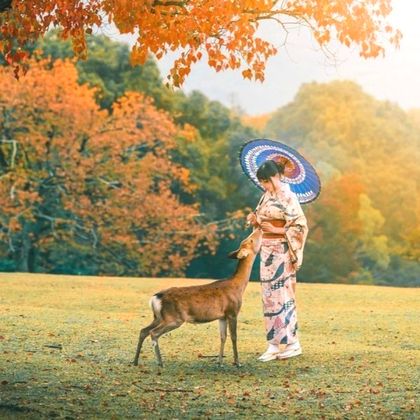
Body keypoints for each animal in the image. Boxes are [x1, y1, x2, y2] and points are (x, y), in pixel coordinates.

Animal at [134, 226, 262, 368]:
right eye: (250, 240)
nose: (258, 229)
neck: (238, 286)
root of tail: (155, 298)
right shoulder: (232, 311)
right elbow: (234, 337)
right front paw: (237, 363)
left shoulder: (222, 316)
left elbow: (223, 336)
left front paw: (220, 362)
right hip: (174, 318)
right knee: (154, 333)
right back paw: (160, 362)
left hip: (158, 316)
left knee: (143, 330)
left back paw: (135, 361)